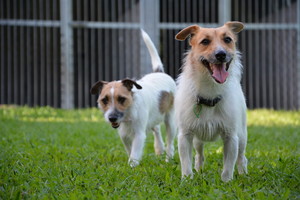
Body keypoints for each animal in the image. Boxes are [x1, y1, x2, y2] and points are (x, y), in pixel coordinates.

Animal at [90, 29, 177, 167]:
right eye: (104, 100)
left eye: (121, 99)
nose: (112, 118)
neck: (129, 111)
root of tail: (160, 73)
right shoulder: (123, 134)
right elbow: (129, 149)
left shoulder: (139, 134)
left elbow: (135, 152)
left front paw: (132, 166)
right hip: (155, 114)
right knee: (156, 128)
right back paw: (159, 148)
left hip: (170, 120)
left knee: (170, 140)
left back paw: (168, 158)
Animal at [175, 21, 247, 181]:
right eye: (205, 41)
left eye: (228, 39)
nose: (221, 54)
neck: (210, 90)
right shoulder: (185, 135)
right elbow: (186, 162)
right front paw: (187, 179)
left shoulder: (231, 137)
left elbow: (228, 166)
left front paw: (226, 182)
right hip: (198, 140)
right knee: (199, 154)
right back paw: (199, 169)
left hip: (242, 136)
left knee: (241, 157)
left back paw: (243, 173)